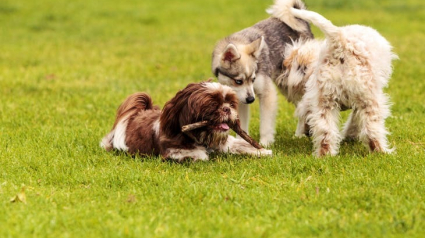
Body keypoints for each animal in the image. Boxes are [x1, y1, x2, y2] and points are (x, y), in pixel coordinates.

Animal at [100, 82, 270, 162]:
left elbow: (240, 145)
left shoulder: (225, 143)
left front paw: (262, 151)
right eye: (213, 105)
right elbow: (198, 154)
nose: (227, 109)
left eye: (230, 103)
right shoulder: (173, 151)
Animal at [211, 0, 312, 145]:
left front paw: (265, 143)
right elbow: (242, 125)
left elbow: (265, 124)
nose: (251, 99)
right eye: (238, 81)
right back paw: (299, 134)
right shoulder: (240, 99)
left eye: (253, 79)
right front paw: (242, 142)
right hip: (287, 87)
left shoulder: (267, 94)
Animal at [274, 4, 398, 156]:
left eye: (287, 66)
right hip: (369, 100)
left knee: (324, 131)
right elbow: (355, 121)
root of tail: (340, 43)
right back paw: (382, 152)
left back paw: (325, 155)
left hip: (325, 103)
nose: (280, 76)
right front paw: (350, 135)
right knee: (371, 130)